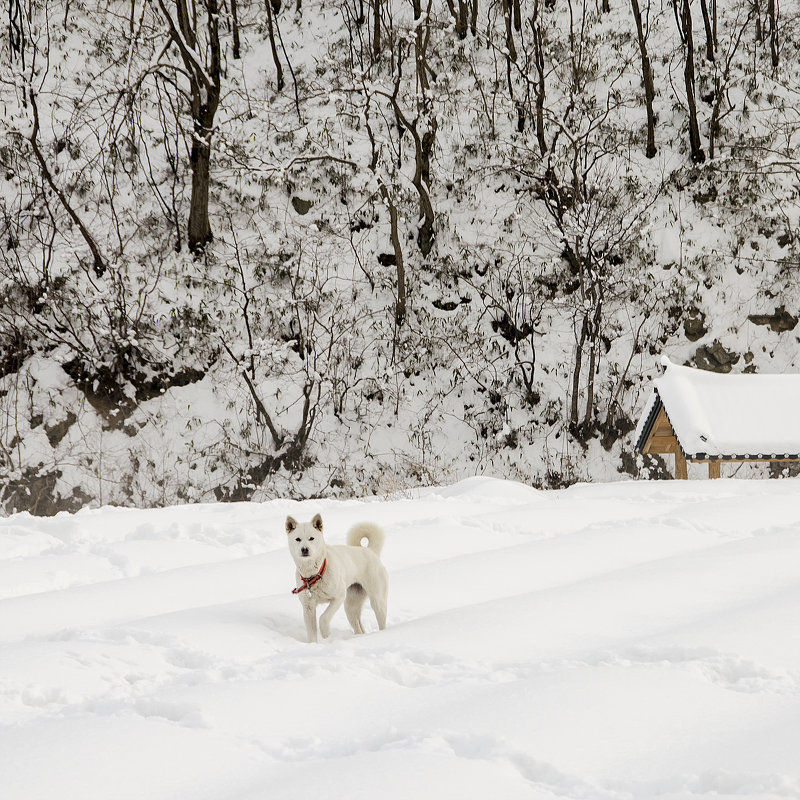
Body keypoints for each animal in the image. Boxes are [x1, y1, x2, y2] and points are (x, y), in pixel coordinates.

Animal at [286, 512, 390, 644]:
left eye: (311, 538)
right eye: (298, 539)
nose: (304, 549)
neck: (315, 574)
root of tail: (370, 551)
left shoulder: (338, 597)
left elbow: (324, 617)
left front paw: (326, 634)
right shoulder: (308, 608)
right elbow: (311, 633)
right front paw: (313, 645)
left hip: (377, 601)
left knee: (381, 621)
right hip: (350, 607)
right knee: (359, 628)